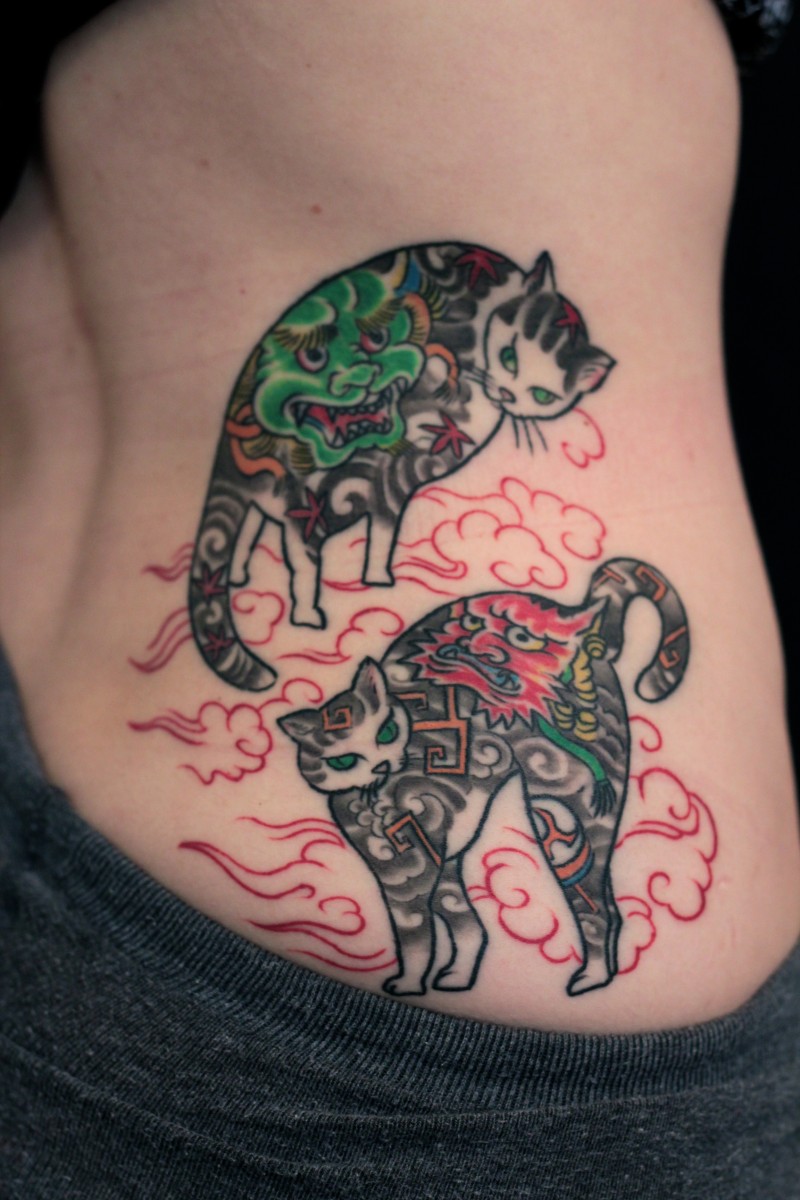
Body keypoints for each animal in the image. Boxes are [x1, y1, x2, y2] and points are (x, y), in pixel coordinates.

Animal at [190, 244, 615, 690]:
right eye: (509, 357)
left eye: (542, 395)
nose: (504, 392)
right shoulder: (383, 473)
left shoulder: (394, 480)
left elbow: (383, 530)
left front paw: (378, 578)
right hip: (314, 499)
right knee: (301, 552)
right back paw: (306, 612)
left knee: (252, 526)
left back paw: (240, 574)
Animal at [278, 558, 689, 999]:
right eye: (343, 760)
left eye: (385, 732)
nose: (382, 766)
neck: (366, 797)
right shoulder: (437, 859)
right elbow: (466, 922)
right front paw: (458, 977)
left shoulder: (409, 873)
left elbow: (416, 937)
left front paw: (409, 984)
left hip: (570, 809)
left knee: (596, 906)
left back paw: (593, 976)